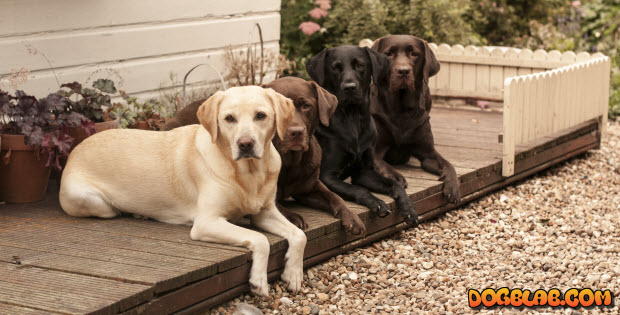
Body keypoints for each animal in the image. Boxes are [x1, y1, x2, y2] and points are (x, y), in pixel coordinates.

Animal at [162, 79, 366, 235]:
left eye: (306, 105)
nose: (296, 132)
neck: (291, 162)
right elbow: (276, 205)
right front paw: (292, 216)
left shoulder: (309, 187)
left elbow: (334, 197)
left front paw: (351, 217)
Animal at [308, 45, 418, 226]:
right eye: (335, 67)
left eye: (360, 65)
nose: (350, 87)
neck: (352, 119)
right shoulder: (327, 176)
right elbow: (356, 188)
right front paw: (376, 202)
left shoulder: (363, 172)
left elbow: (394, 184)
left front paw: (409, 208)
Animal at [368, 34, 460, 204]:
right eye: (389, 54)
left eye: (414, 54)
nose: (403, 71)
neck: (401, 110)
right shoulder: (374, 151)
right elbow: (382, 164)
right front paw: (395, 176)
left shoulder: (428, 153)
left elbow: (448, 165)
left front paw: (453, 185)